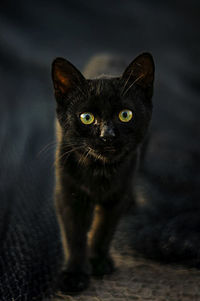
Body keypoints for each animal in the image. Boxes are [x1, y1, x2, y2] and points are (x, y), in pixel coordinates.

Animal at [51, 52, 155, 292]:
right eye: (86, 117)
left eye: (125, 115)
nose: (107, 135)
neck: (99, 171)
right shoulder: (69, 195)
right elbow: (74, 235)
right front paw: (75, 274)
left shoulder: (116, 197)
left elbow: (103, 230)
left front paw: (97, 262)